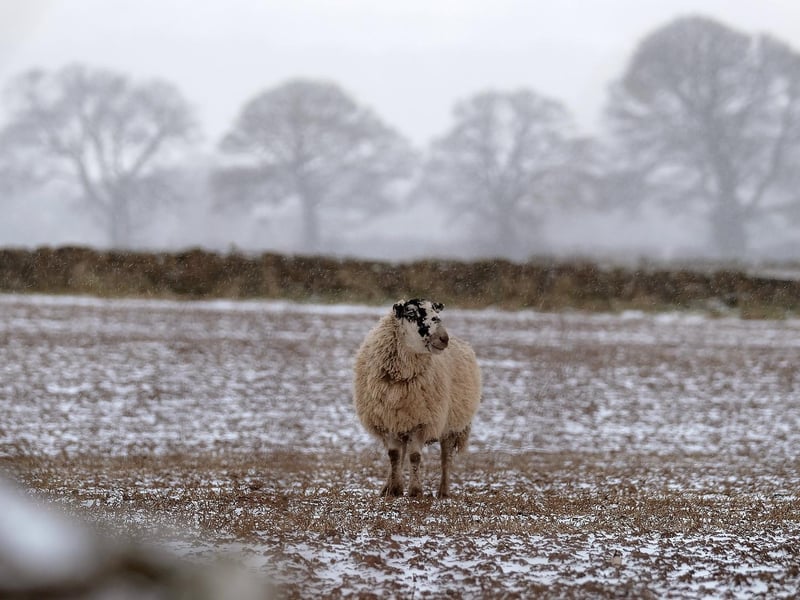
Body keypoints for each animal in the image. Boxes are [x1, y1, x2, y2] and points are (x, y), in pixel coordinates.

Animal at [353, 298, 481, 498]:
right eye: (411, 313)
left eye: (437, 314)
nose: (443, 338)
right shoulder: (389, 420)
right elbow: (394, 456)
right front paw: (395, 489)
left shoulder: (422, 421)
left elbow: (414, 457)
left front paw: (415, 491)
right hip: (403, 423)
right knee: (401, 453)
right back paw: (387, 487)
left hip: (451, 426)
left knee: (446, 459)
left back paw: (444, 492)